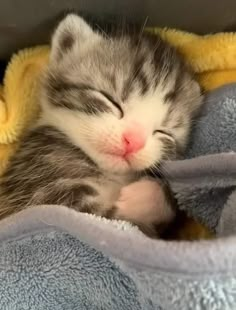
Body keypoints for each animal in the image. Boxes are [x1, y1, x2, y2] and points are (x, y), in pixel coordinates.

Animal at [0, 13, 203, 237]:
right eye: (111, 101)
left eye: (163, 131)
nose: (133, 142)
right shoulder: (41, 191)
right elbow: (101, 218)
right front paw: (138, 202)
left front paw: (154, 194)